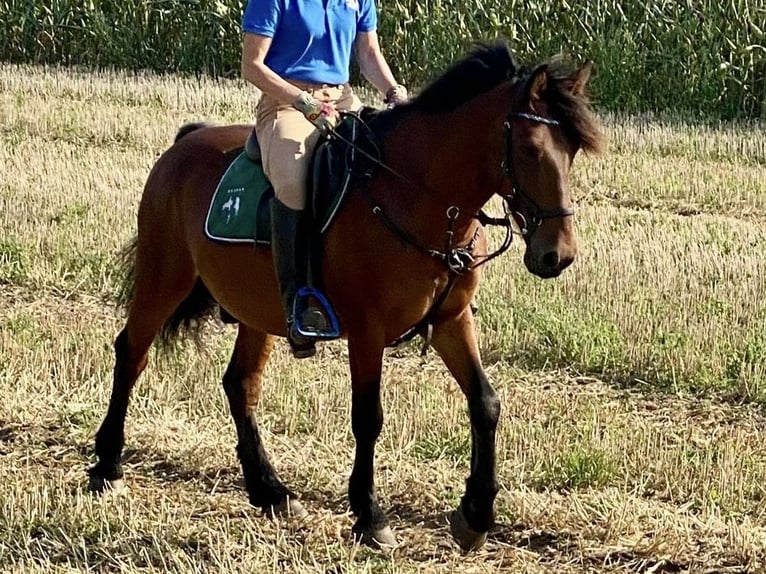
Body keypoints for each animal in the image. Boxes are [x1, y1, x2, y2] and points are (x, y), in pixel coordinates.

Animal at [88, 40, 603, 551]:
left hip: (257, 308)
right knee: (132, 354)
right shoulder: (367, 330)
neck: (415, 196)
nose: (558, 255)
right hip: (163, 278)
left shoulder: (452, 320)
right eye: (531, 149)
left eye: (573, 150)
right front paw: (370, 516)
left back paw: (270, 491)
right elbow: (368, 417)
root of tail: (185, 142)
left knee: (240, 384)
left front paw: (476, 515)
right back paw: (107, 467)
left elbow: (485, 402)